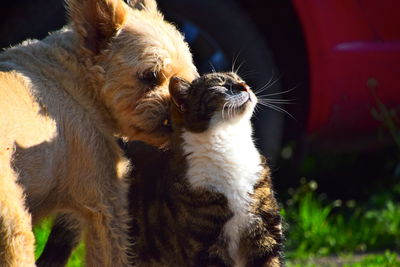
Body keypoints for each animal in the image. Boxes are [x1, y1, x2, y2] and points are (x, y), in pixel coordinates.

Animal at [0, 0, 198, 266]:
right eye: (150, 76)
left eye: (185, 81)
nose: (176, 107)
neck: (81, 77)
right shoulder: (105, 204)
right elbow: (110, 254)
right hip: (11, 217)